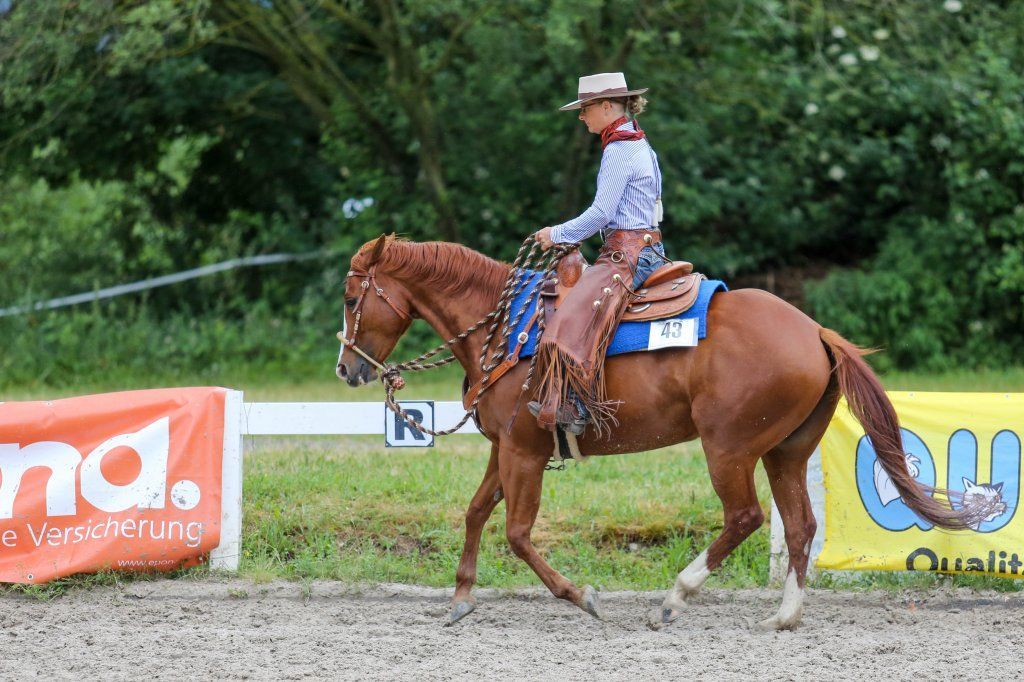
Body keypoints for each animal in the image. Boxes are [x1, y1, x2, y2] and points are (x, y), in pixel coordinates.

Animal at [336, 234, 975, 630]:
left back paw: (673, 599)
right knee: (800, 526)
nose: (347, 369)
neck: (508, 331)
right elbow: (473, 514)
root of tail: (815, 331)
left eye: (350, 296)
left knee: (746, 517)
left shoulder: (524, 452)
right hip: (786, 453)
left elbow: (516, 534)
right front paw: (461, 599)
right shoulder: (505, 447)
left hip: (729, 448)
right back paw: (783, 616)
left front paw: (583, 597)